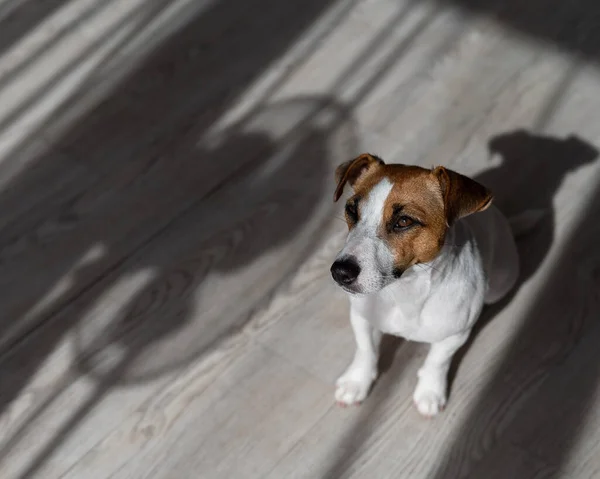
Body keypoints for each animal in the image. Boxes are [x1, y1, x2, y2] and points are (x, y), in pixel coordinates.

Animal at [330, 154, 524, 416]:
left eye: (403, 221)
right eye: (351, 209)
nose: (339, 272)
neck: (404, 289)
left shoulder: (454, 335)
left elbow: (436, 362)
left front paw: (430, 393)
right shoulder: (361, 316)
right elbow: (365, 349)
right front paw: (356, 382)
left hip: (503, 282)